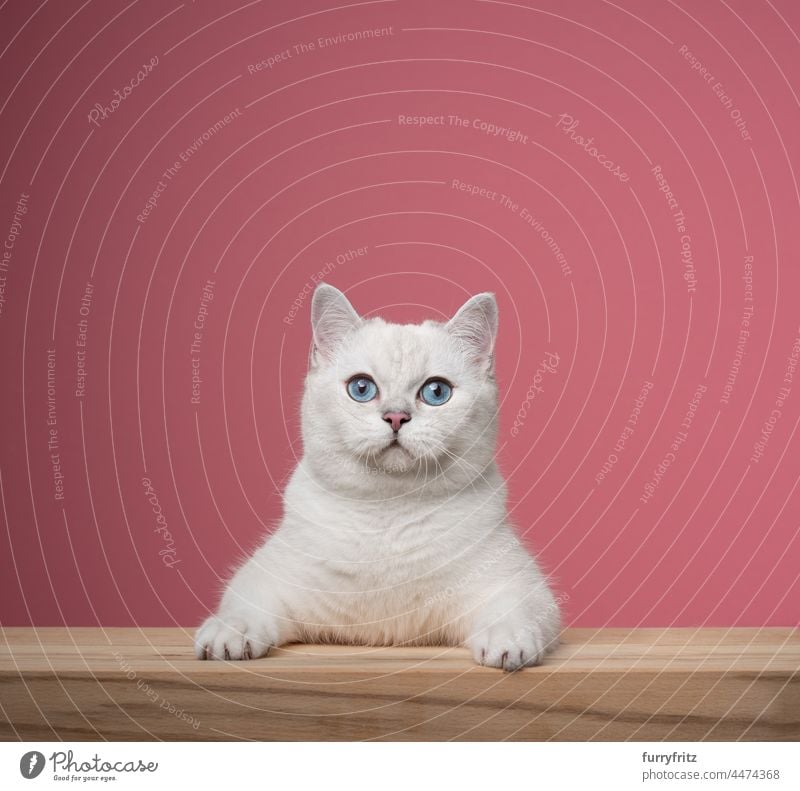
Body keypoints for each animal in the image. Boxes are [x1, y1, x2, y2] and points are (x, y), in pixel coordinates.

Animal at [195, 284, 560, 668]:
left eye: (436, 392)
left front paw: (508, 644)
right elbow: (242, 607)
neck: (388, 512)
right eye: (361, 388)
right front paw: (227, 636)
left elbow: (513, 611)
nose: (396, 416)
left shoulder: (515, 581)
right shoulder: (267, 576)